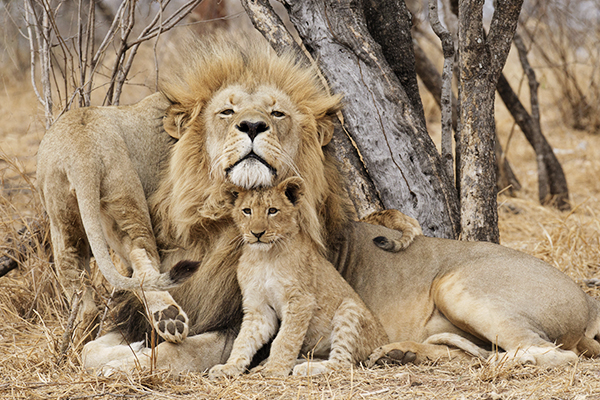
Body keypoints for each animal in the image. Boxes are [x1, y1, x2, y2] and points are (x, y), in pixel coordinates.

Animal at [83, 35, 600, 372]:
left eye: (277, 113)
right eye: (227, 111)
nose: (252, 126)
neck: (216, 228)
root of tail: (588, 298)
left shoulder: (236, 326)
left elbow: (172, 353)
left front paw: (132, 363)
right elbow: (91, 349)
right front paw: (120, 352)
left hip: (459, 286)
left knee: (548, 354)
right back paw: (401, 352)